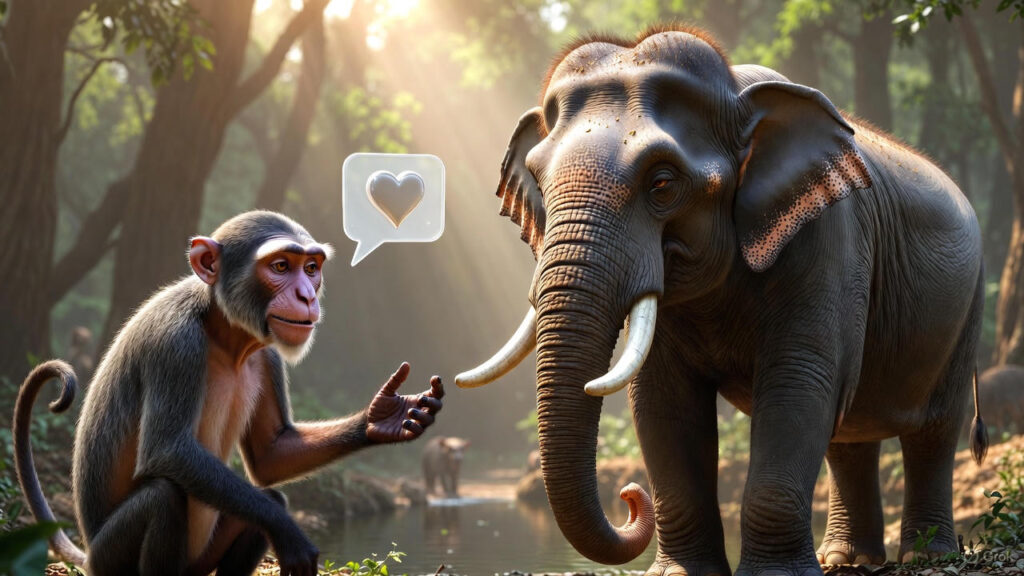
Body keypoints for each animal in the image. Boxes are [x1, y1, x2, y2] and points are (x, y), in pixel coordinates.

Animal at [14, 211, 444, 576]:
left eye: (311, 268)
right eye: (281, 266)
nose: (307, 295)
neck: (224, 331)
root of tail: (87, 556)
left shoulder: (268, 356)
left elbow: (273, 453)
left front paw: (384, 417)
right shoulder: (176, 343)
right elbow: (168, 450)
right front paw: (289, 531)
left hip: (202, 559)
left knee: (260, 505)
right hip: (111, 560)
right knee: (164, 497)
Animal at [455, 26, 986, 576]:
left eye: (662, 183)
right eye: (538, 183)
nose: (629, 498)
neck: (737, 94)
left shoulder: (829, 236)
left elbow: (799, 380)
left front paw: (773, 575)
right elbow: (662, 399)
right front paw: (679, 574)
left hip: (967, 307)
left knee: (933, 431)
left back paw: (927, 555)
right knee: (847, 433)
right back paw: (847, 559)